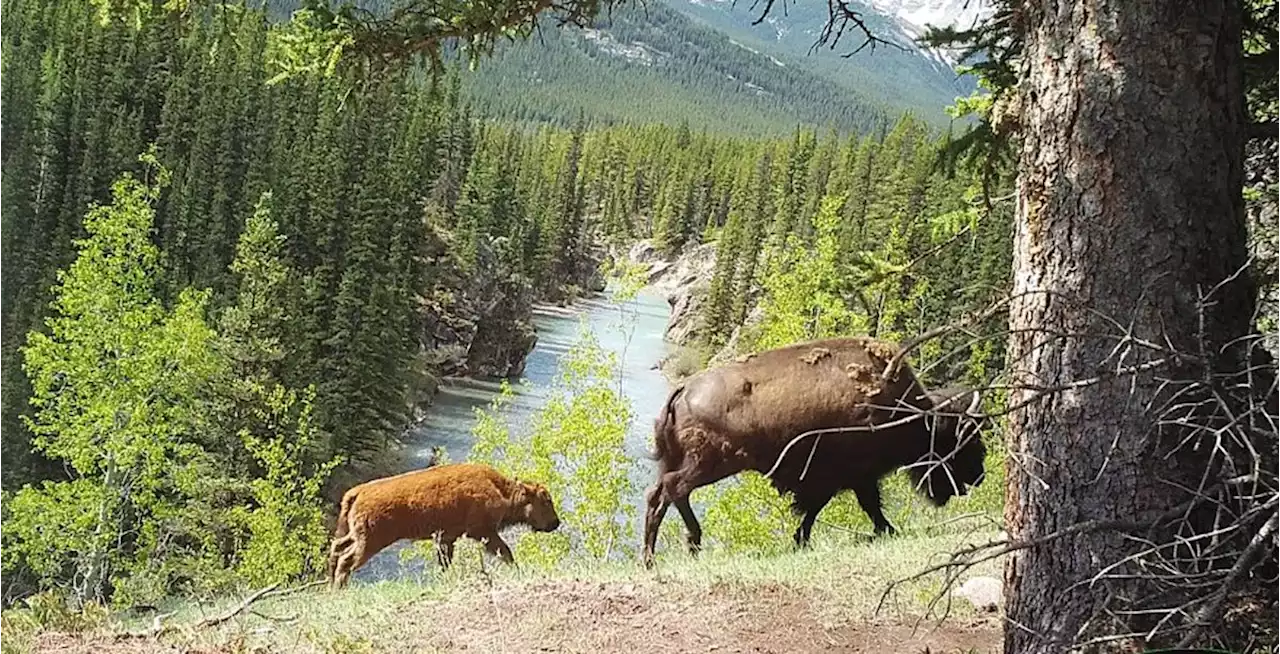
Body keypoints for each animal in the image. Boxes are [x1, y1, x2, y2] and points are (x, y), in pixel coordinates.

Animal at [325, 460, 560, 588]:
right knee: (346, 560)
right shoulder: (483, 532)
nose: (556, 523)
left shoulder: (447, 538)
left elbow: (445, 563)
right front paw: (518, 571)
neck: (500, 488)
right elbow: (506, 552)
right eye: (545, 501)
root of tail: (358, 491)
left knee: (337, 549)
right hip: (370, 542)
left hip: (354, 535)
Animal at [640, 335, 988, 565]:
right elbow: (858, 505)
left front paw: (801, 540)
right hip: (710, 463)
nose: (979, 475)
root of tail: (683, 389)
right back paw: (686, 546)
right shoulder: (849, 476)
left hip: (681, 461)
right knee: (673, 489)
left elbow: (825, 509)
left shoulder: (840, 479)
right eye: (961, 440)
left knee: (659, 495)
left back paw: (657, 556)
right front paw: (887, 530)